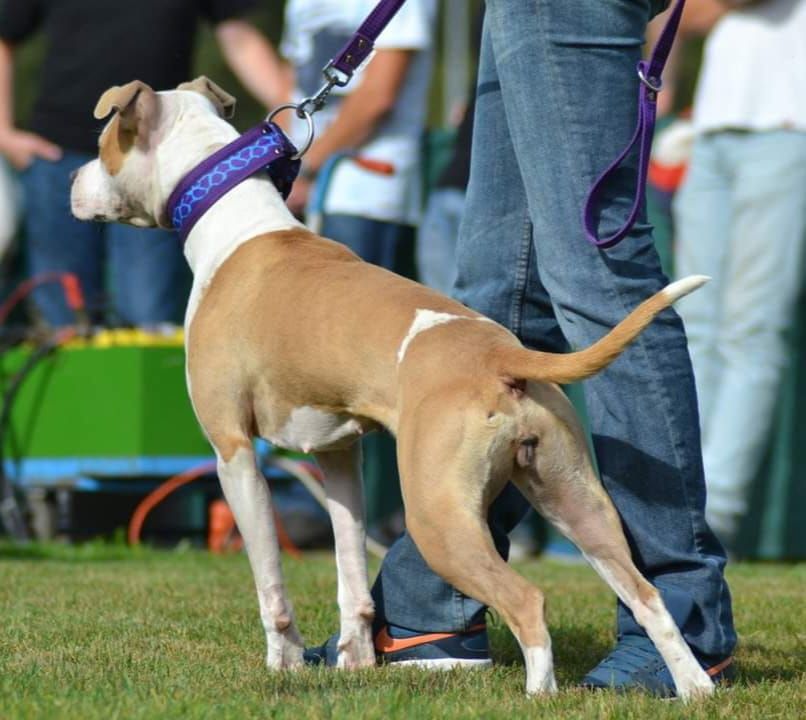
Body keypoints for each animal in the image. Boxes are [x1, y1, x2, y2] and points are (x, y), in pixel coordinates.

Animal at [71, 77, 712, 696]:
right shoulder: (339, 456)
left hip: (438, 517)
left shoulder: (233, 453)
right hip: (574, 501)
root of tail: (500, 352)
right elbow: (351, 572)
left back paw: (540, 693)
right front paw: (353, 664)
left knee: (527, 600)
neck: (236, 221)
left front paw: (284, 667)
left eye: (104, 145)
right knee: (649, 596)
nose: (74, 180)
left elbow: (270, 584)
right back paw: (694, 687)